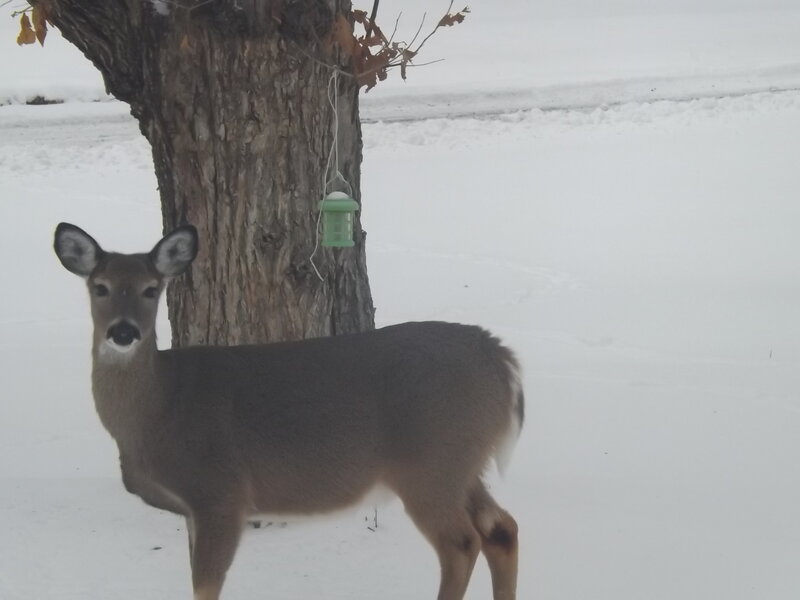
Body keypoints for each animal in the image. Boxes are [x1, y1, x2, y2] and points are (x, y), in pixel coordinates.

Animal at [53, 222, 524, 600]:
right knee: (502, 528)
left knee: (462, 544)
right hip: (463, 465)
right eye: (100, 287)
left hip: (432, 465)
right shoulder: (192, 508)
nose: (124, 332)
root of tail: (501, 359)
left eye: (152, 289)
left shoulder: (220, 493)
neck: (159, 409)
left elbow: (205, 588)